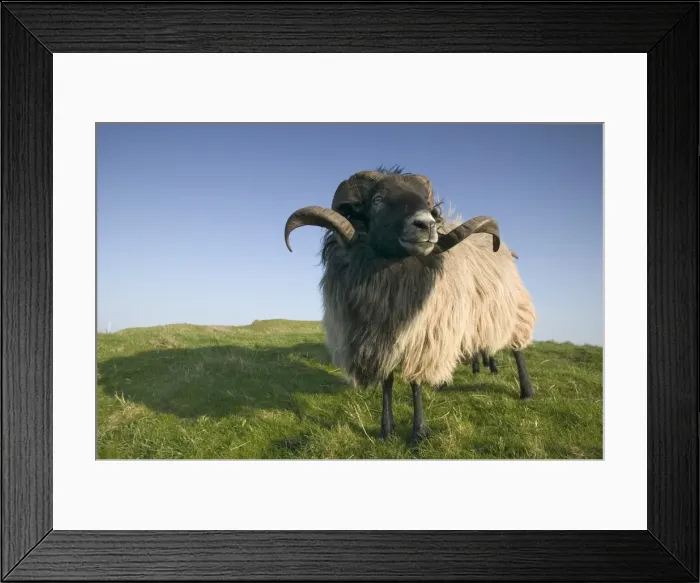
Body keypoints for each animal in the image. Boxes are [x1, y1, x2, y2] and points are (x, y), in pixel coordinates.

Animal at [283, 167, 536, 446]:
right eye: (377, 200)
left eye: (426, 203)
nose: (426, 224)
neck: (392, 275)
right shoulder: (380, 338)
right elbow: (387, 382)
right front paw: (386, 430)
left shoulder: (424, 336)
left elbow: (415, 383)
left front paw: (418, 434)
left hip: (513, 311)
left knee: (517, 349)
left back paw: (526, 390)